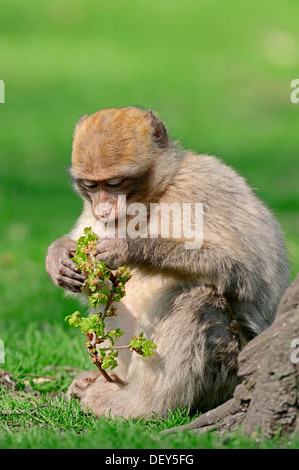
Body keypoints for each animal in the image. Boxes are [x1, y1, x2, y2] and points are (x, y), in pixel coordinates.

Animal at [45, 106, 290, 418]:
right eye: (90, 185)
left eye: (114, 183)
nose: (102, 210)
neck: (153, 198)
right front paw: (59, 255)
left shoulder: (204, 186)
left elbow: (243, 271)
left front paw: (130, 247)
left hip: (230, 371)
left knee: (197, 297)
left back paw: (139, 405)